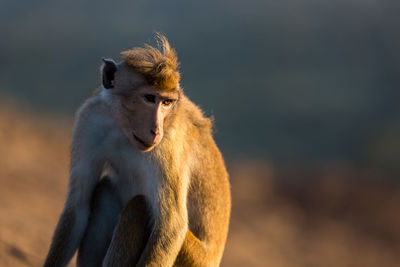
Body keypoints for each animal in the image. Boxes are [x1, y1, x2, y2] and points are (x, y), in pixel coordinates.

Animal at [43, 34, 231, 267]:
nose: (155, 130)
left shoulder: (168, 146)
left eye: (166, 102)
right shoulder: (90, 120)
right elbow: (78, 205)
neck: (124, 128)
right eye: (149, 98)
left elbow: (171, 225)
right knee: (106, 193)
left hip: (193, 259)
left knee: (139, 207)